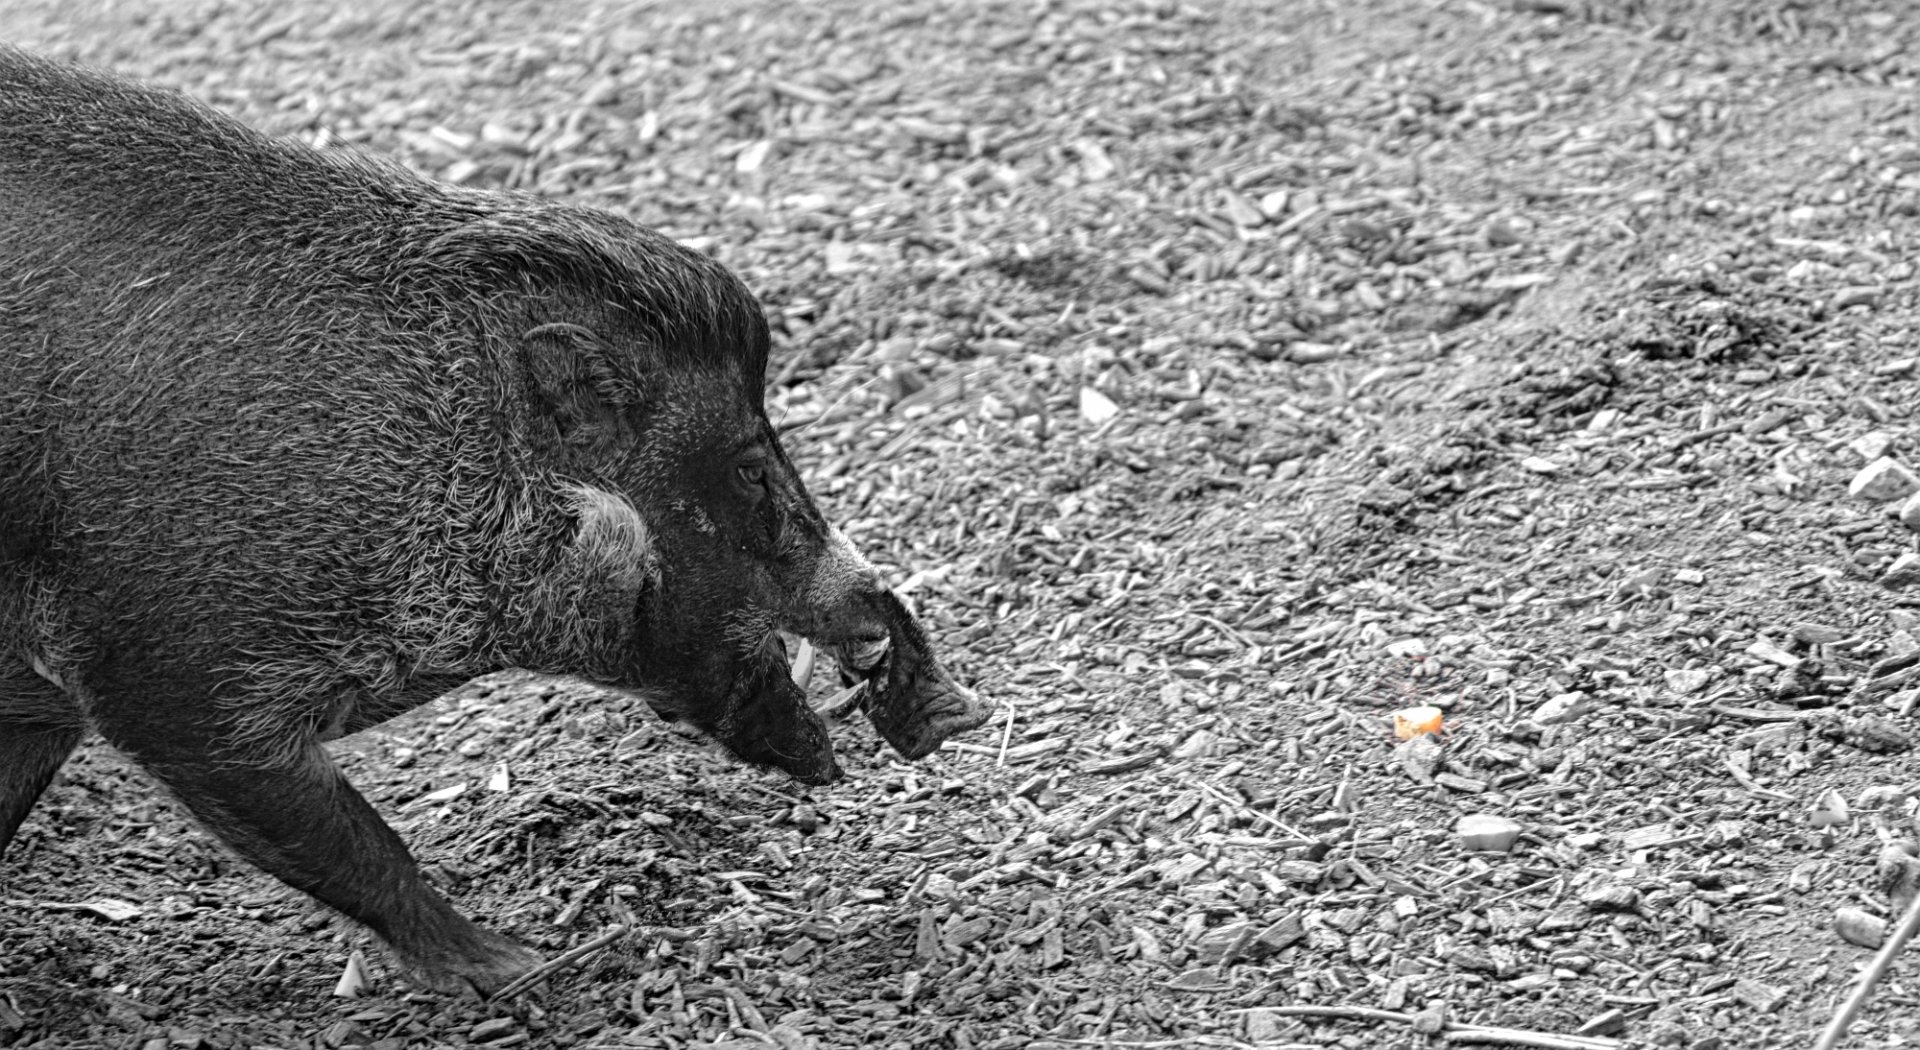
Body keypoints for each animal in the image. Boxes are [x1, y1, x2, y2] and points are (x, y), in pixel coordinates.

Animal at [0, 45, 993, 995]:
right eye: (751, 470)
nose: (963, 712)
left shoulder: (53, 708)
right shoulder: (170, 688)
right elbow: (359, 841)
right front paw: (518, 970)